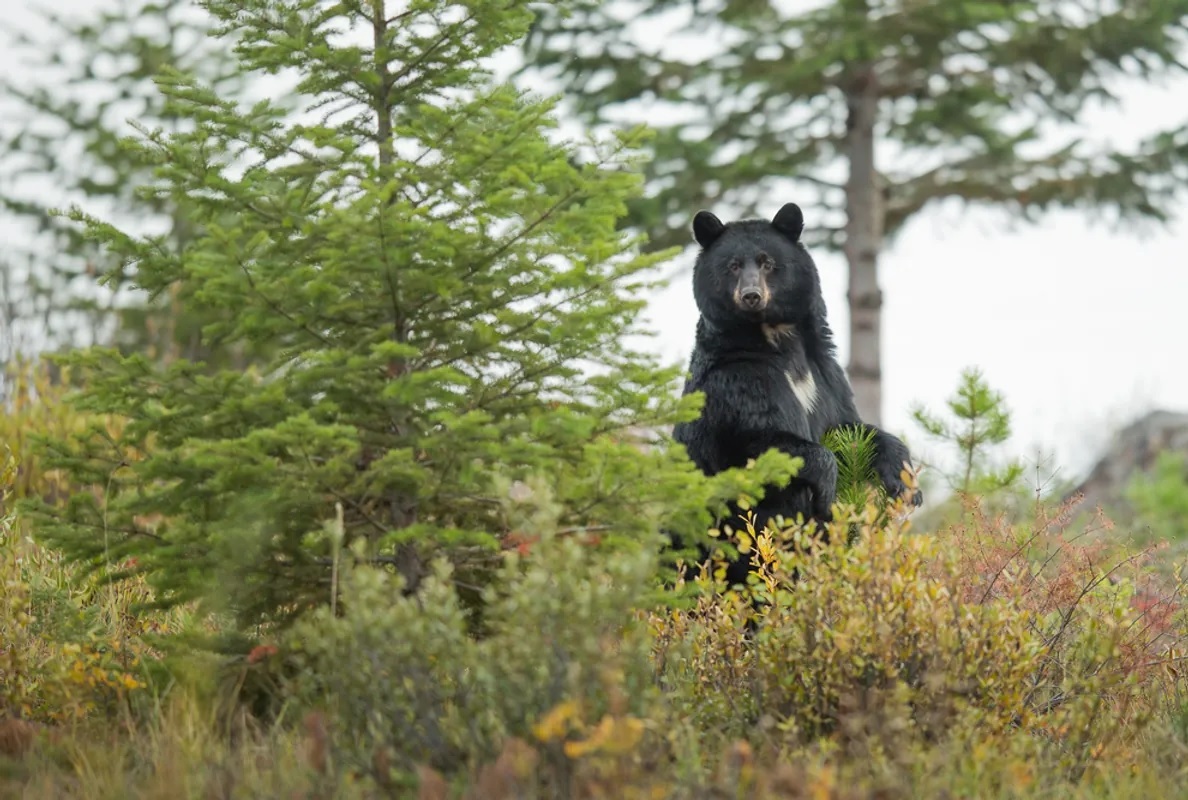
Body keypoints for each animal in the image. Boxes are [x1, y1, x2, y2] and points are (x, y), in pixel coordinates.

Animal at [679, 203, 917, 582]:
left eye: (767, 262)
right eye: (733, 265)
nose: (751, 295)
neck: (776, 337)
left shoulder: (825, 374)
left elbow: (849, 426)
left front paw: (905, 483)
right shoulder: (739, 379)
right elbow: (762, 439)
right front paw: (827, 488)